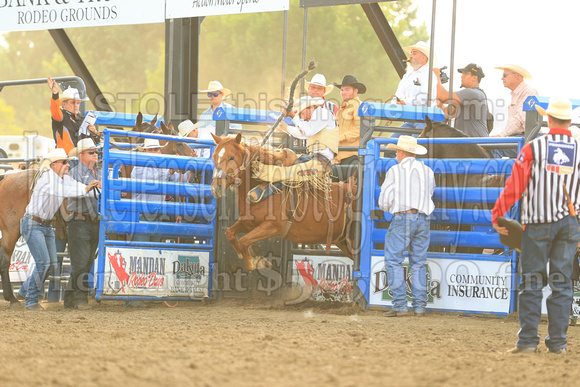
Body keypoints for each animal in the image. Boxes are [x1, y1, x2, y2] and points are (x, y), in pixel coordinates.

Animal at [206, 135, 356, 272]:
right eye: (214, 157)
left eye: (231, 157)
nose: (215, 188)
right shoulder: (249, 223)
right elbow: (230, 233)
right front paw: (242, 255)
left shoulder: (274, 226)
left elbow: (243, 241)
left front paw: (256, 262)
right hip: (344, 242)